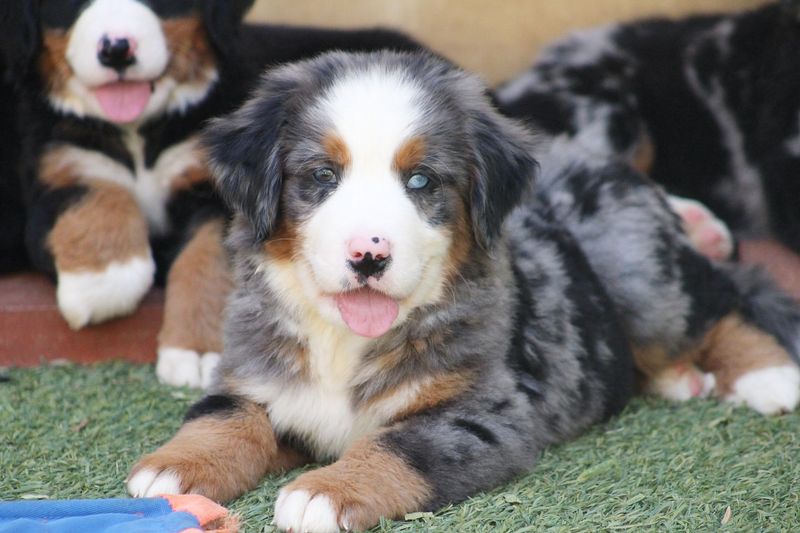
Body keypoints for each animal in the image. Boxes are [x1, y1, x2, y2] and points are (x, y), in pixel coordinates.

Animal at [0, 0, 422, 384]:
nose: (117, 48)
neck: (139, 132)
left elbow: (205, 259)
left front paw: (197, 351)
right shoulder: (55, 171)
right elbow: (94, 193)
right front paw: (104, 281)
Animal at [125, 51, 800, 532]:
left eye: (421, 180)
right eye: (322, 176)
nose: (369, 255)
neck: (343, 340)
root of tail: (593, 159)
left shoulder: (484, 413)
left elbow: (398, 447)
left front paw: (324, 491)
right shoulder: (254, 375)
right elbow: (224, 417)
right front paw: (172, 468)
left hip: (639, 268)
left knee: (720, 300)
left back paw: (765, 375)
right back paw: (679, 379)